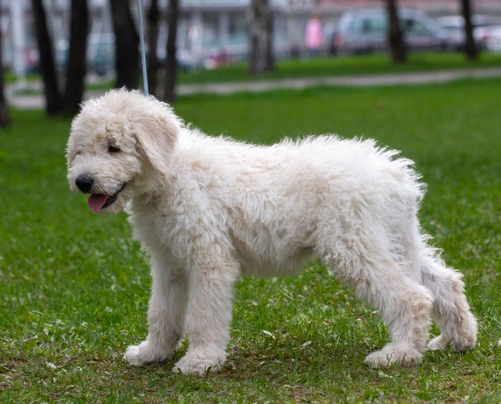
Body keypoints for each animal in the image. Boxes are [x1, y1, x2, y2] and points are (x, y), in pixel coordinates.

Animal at [66, 88, 476, 376]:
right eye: (79, 151)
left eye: (114, 147)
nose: (82, 182)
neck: (171, 171)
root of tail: (396, 174)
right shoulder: (170, 263)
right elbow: (162, 312)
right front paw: (152, 353)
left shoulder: (210, 260)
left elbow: (203, 314)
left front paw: (200, 361)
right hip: (395, 240)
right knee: (443, 282)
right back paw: (456, 340)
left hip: (354, 245)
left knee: (412, 296)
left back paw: (399, 355)